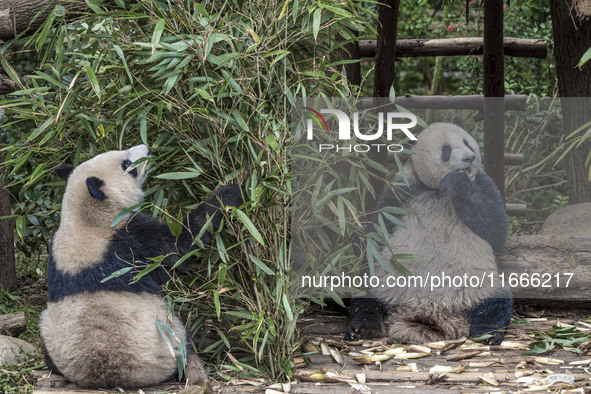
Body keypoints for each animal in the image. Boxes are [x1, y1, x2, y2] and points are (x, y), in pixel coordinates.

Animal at [40, 144, 243, 388]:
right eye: (127, 165)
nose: (145, 147)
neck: (85, 221)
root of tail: (108, 377)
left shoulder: (56, 253)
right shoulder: (131, 242)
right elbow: (181, 241)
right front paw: (229, 194)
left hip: (50, 335)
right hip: (167, 339)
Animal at [346, 122, 512, 344]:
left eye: (467, 142)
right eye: (446, 149)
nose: (470, 158)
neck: (438, 189)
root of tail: (430, 314)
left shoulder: (482, 183)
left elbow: (493, 227)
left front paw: (458, 182)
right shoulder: (403, 191)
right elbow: (377, 230)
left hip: (478, 288)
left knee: (495, 305)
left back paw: (487, 334)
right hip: (383, 285)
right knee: (365, 300)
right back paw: (362, 329)